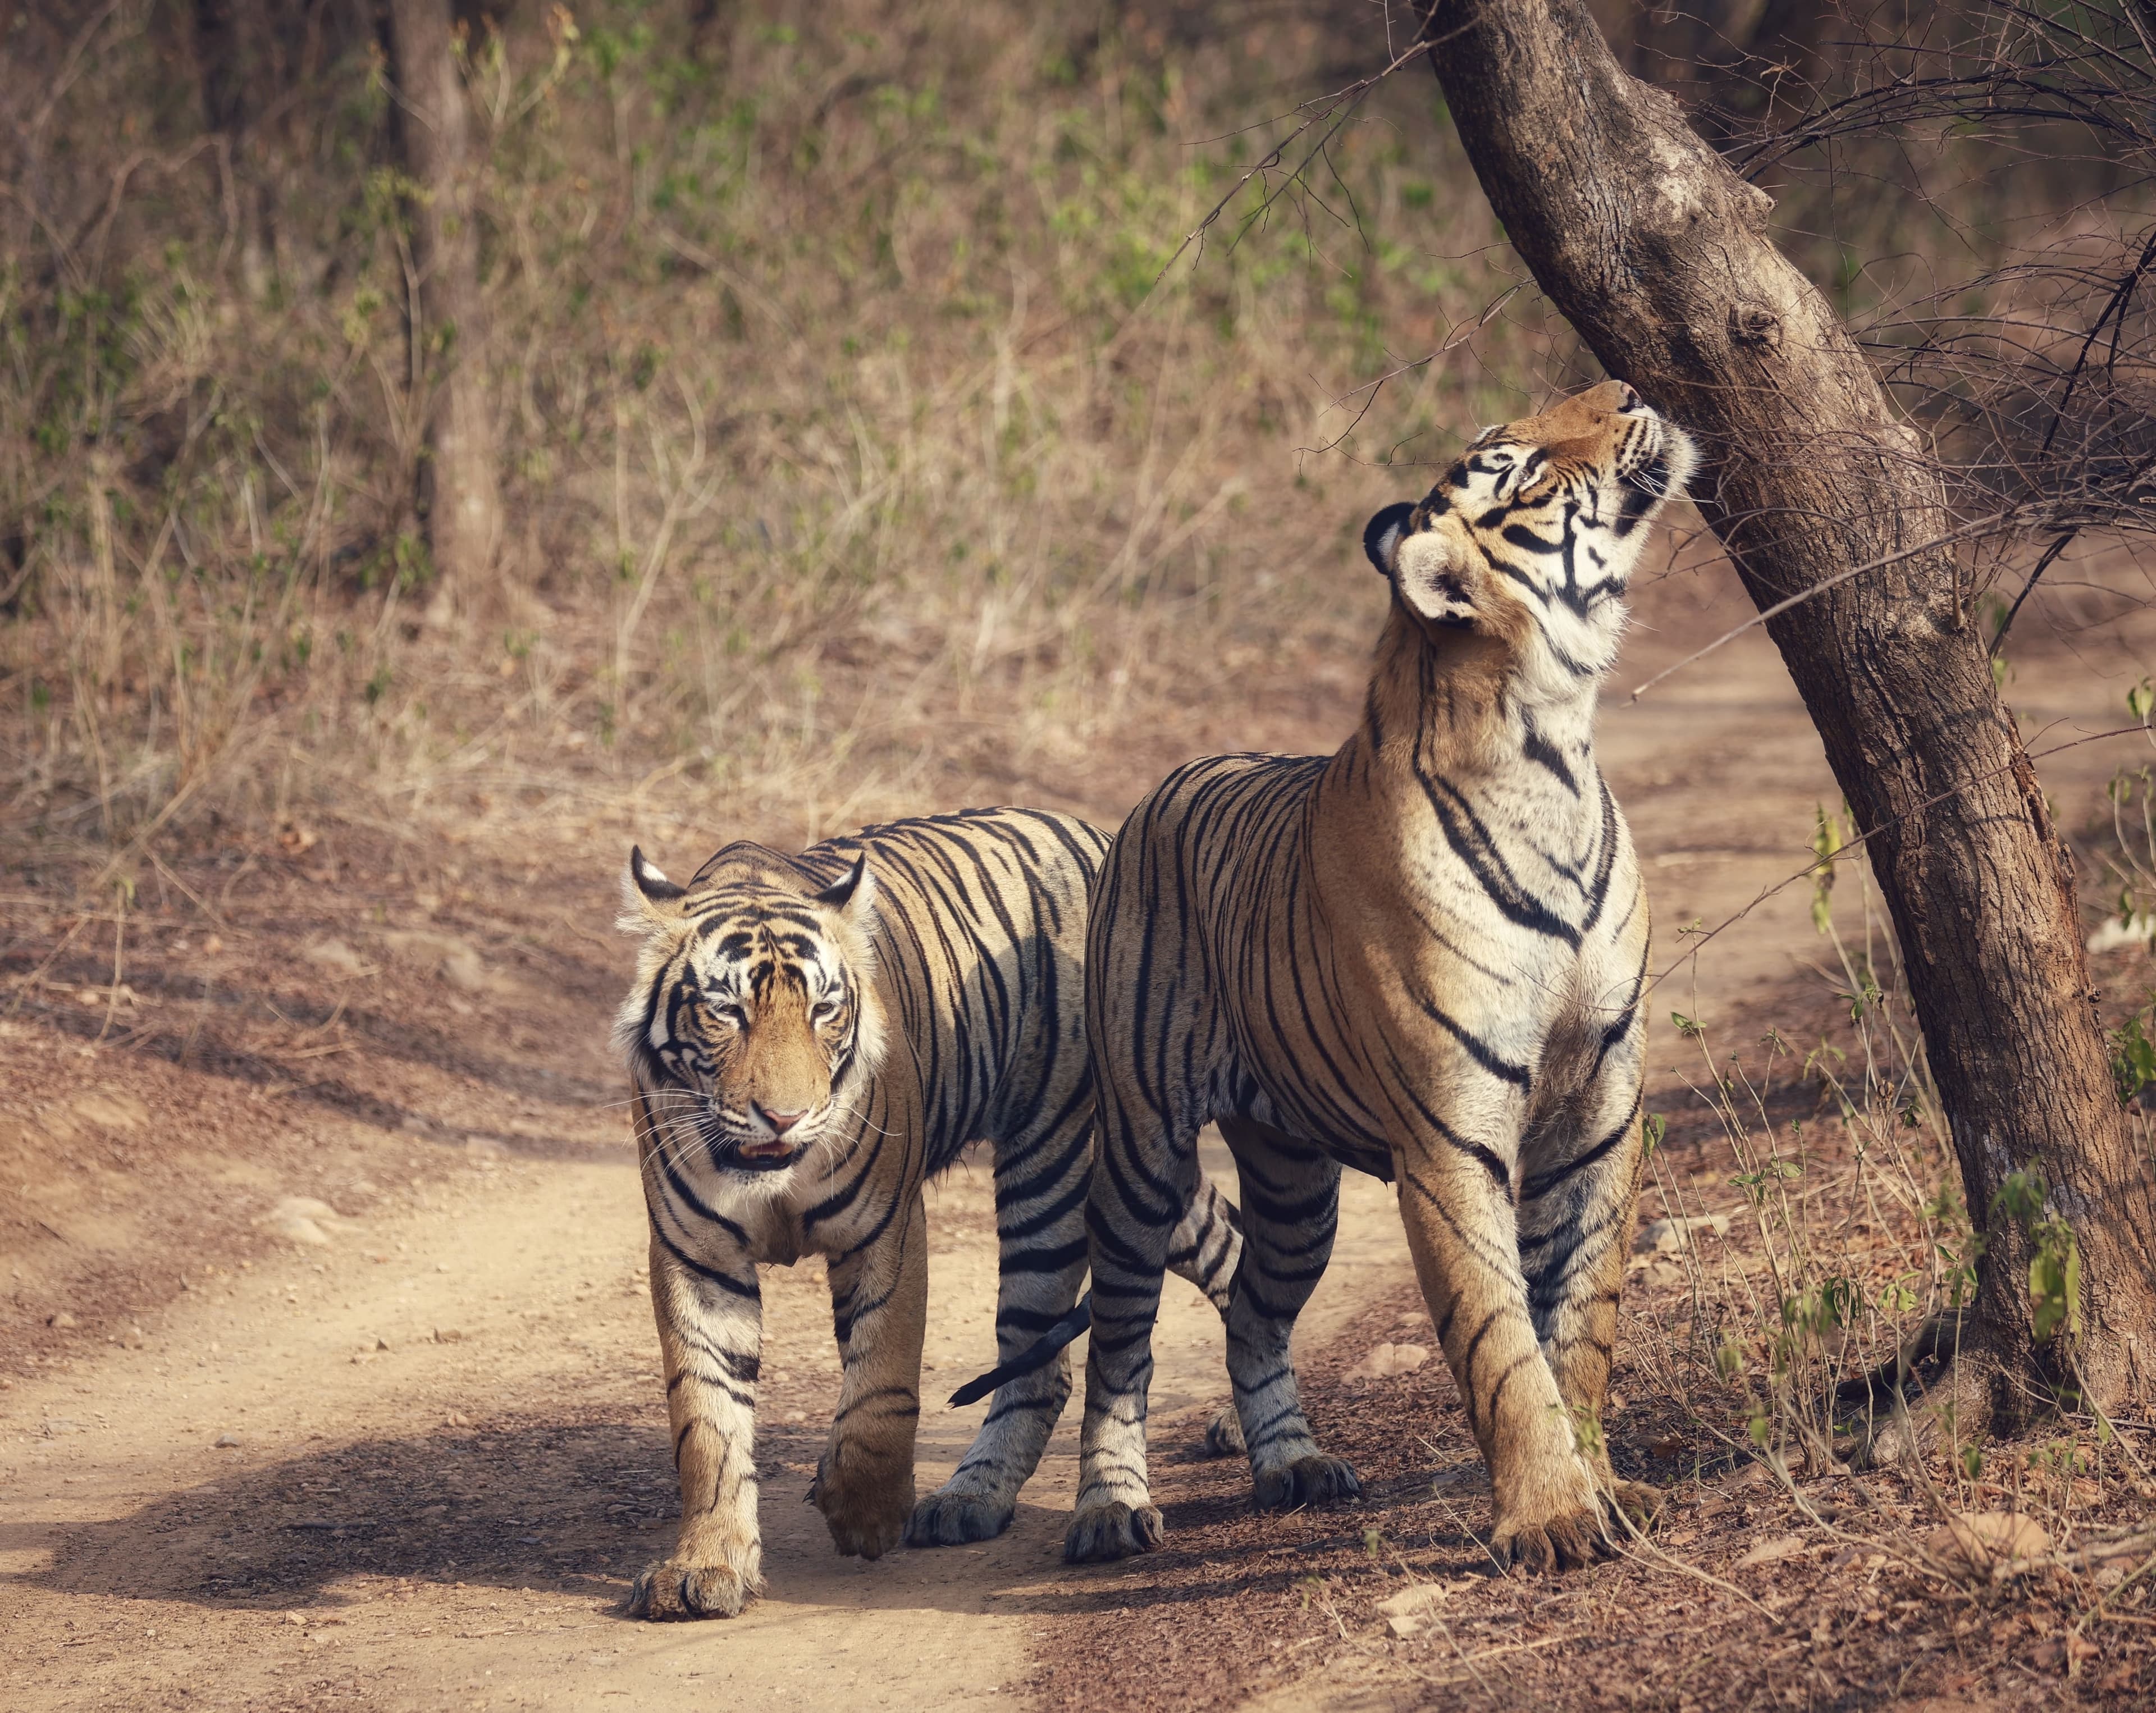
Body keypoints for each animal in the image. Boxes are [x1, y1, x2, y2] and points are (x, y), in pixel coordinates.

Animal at [614, 808, 1242, 1620]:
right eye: (726, 1012)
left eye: (823, 1009)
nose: (784, 1117)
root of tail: (1101, 835)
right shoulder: (696, 1256)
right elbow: (706, 1418)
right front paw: (704, 1566)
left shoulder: (886, 1225)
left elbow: (882, 1381)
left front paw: (866, 1511)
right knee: (1219, 1241)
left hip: (1062, 1165)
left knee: (1043, 1360)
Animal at [1064, 380, 1696, 1575]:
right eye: (1523, 466)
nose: (1632, 388)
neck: (1556, 747)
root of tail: (1169, 781)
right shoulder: (1449, 1138)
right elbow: (1501, 1340)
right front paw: (1550, 1516)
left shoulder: (1600, 1105)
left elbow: (1583, 1320)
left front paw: (1606, 1487)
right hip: (1139, 1154)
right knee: (1119, 1349)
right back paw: (1109, 1510)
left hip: (1295, 1185)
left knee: (1254, 1313)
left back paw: (1295, 1467)